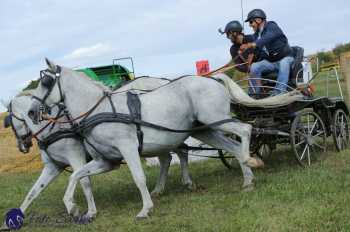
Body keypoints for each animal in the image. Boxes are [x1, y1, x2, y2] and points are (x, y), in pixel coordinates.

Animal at [28, 59, 262, 219]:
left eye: (46, 82)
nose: (31, 112)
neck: (99, 110)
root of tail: (213, 78)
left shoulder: (128, 148)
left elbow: (138, 178)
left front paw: (145, 209)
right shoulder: (106, 161)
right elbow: (76, 175)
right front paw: (72, 206)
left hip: (215, 119)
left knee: (245, 129)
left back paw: (252, 161)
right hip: (205, 130)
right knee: (233, 147)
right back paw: (248, 181)